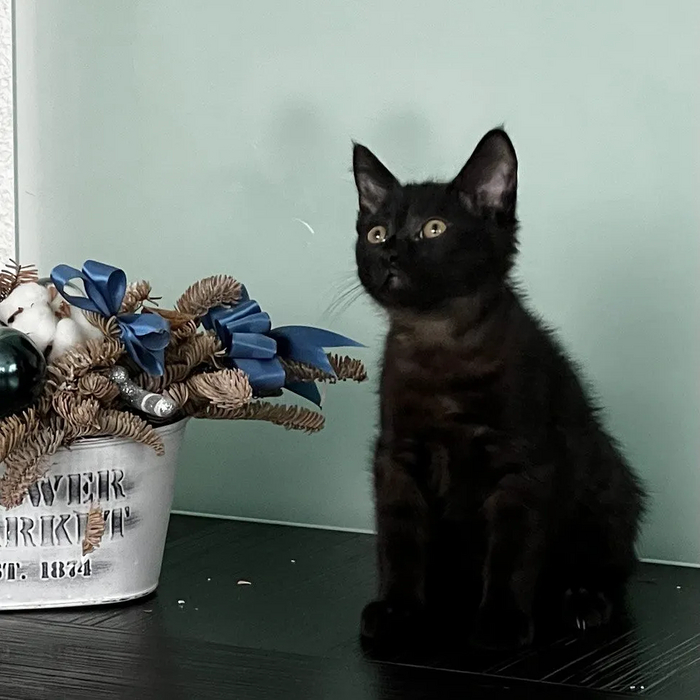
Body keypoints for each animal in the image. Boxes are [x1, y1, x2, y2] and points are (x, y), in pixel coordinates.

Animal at [352, 128, 647, 651]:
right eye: (376, 233)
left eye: (433, 229)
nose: (389, 254)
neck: (440, 343)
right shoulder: (396, 456)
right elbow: (399, 536)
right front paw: (397, 608)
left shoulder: (524, 463)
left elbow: (513, 547)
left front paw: (502, 620)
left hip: (610, 488)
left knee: (609, 563)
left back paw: (585, 599)